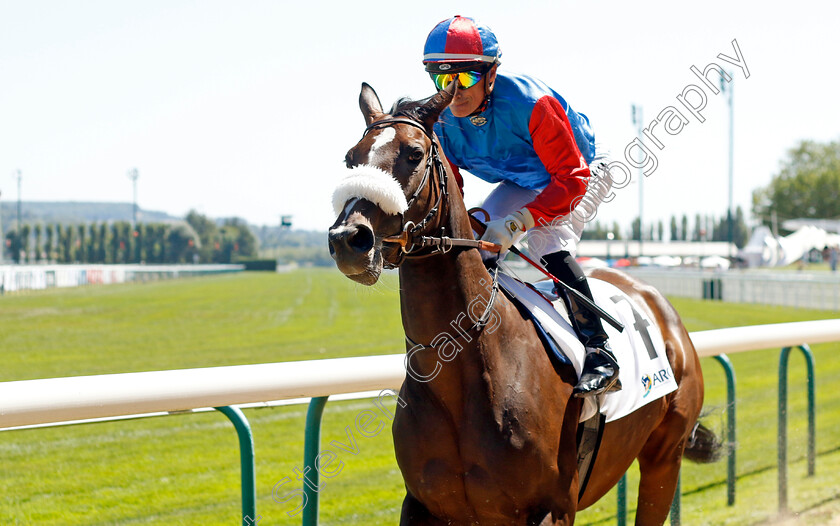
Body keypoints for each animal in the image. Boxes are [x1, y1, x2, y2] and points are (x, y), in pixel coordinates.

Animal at [328, 81, 720, 524]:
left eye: (413, 153)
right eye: (351, 158)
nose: (349, 239)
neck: (460, 371)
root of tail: (657, 304)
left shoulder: (553, 507)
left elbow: (565, 183)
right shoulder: (423, 504)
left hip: (664, 457)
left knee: (554, 246)